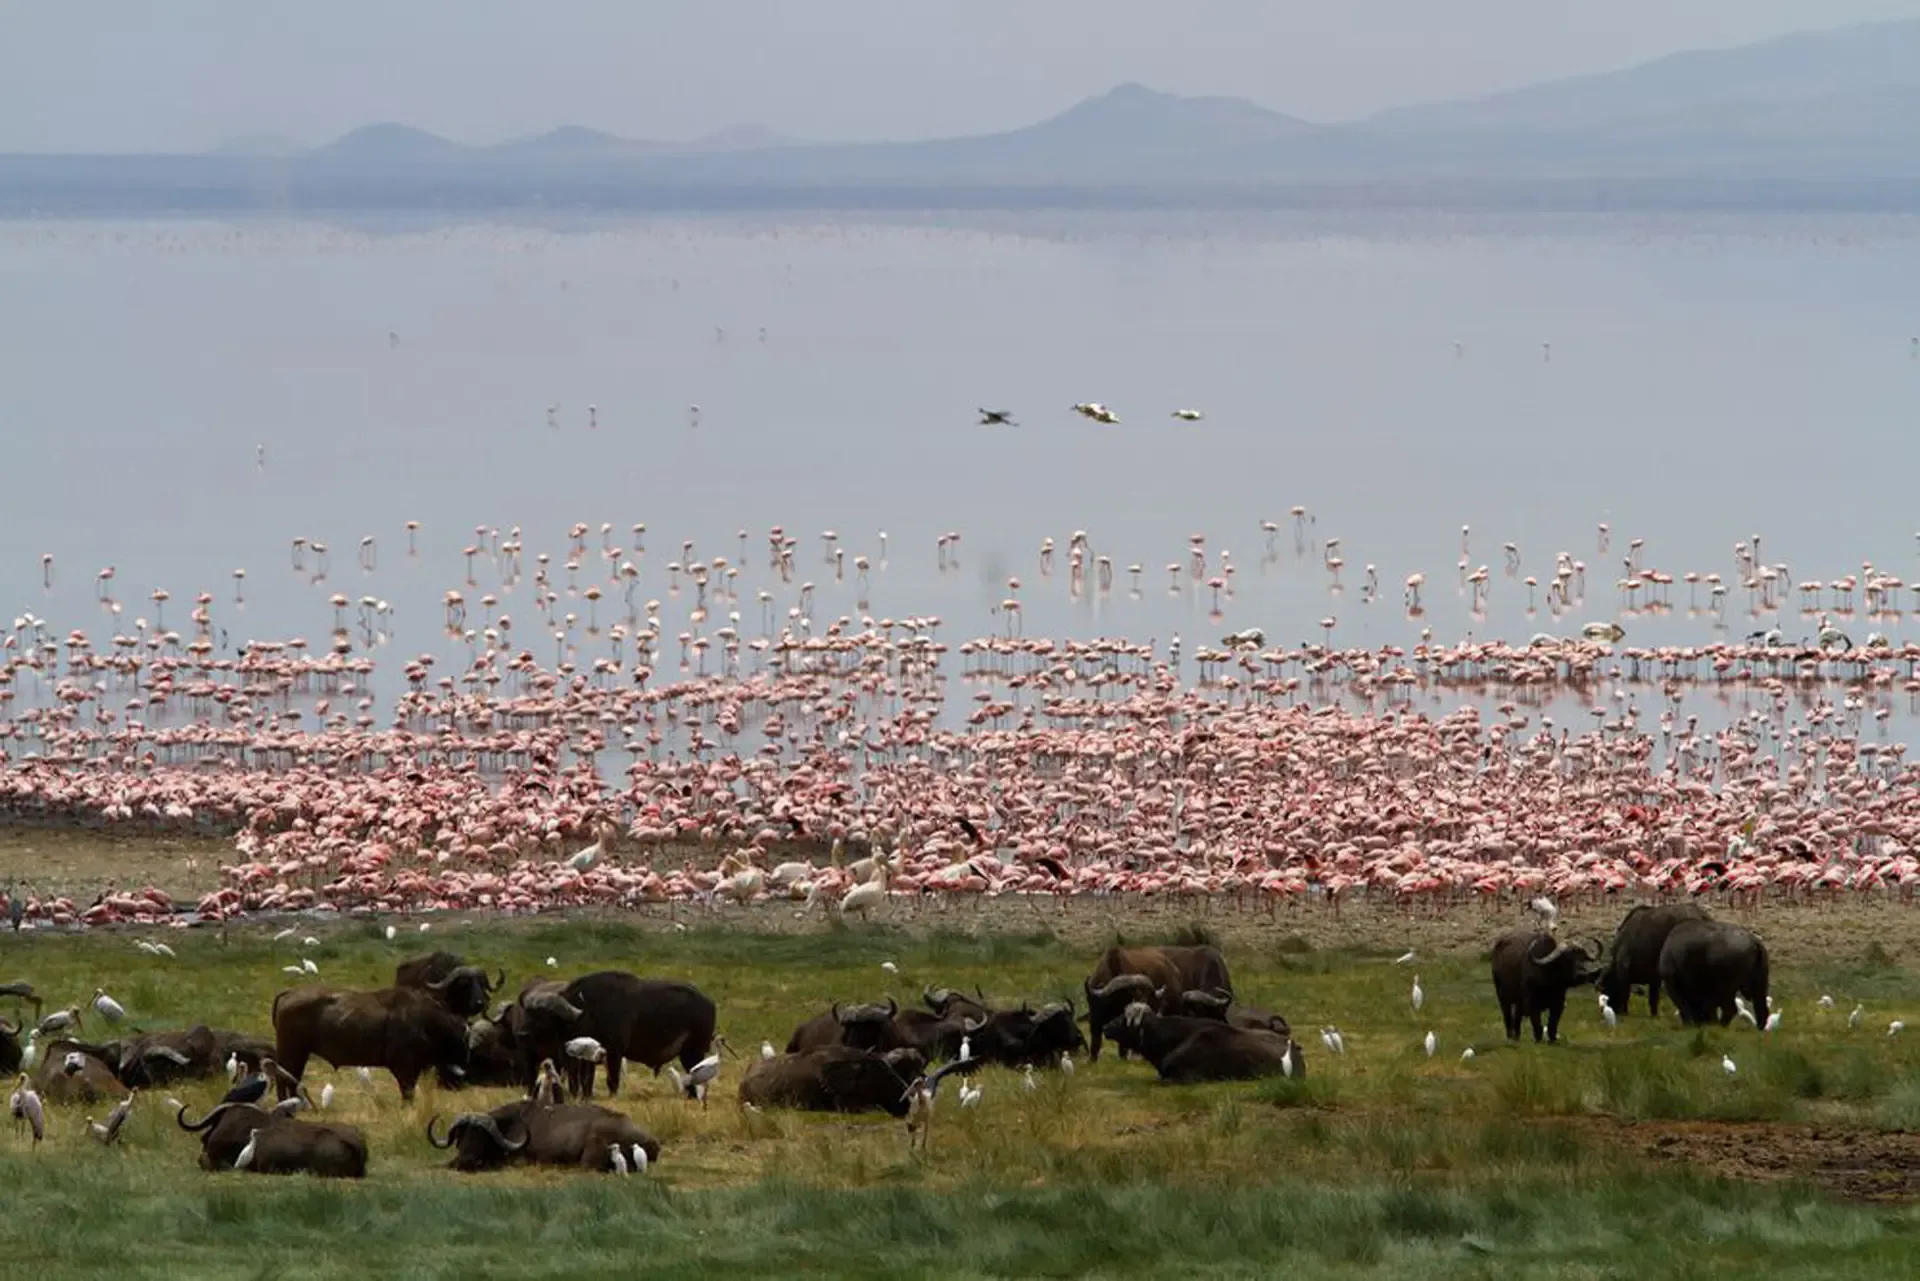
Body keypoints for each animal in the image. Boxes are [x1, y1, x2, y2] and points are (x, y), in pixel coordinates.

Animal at [272, 984, 470, 1101]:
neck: (426, 1020)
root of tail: (289, 992)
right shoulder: (404, 1067)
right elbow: (407, 1093)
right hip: (292, 1052)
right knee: (283, 1078)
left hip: (299, 1054)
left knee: (291, 1078)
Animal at [508, 972, 718, 1098]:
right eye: (527, 1012)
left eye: (542, 1016)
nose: (521, 1034)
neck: (588, 1011)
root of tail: (709, 1003)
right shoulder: (582, 1058)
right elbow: (583, 1081)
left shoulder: (614, 1052)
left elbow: (612, 1079)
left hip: (695, 1051)